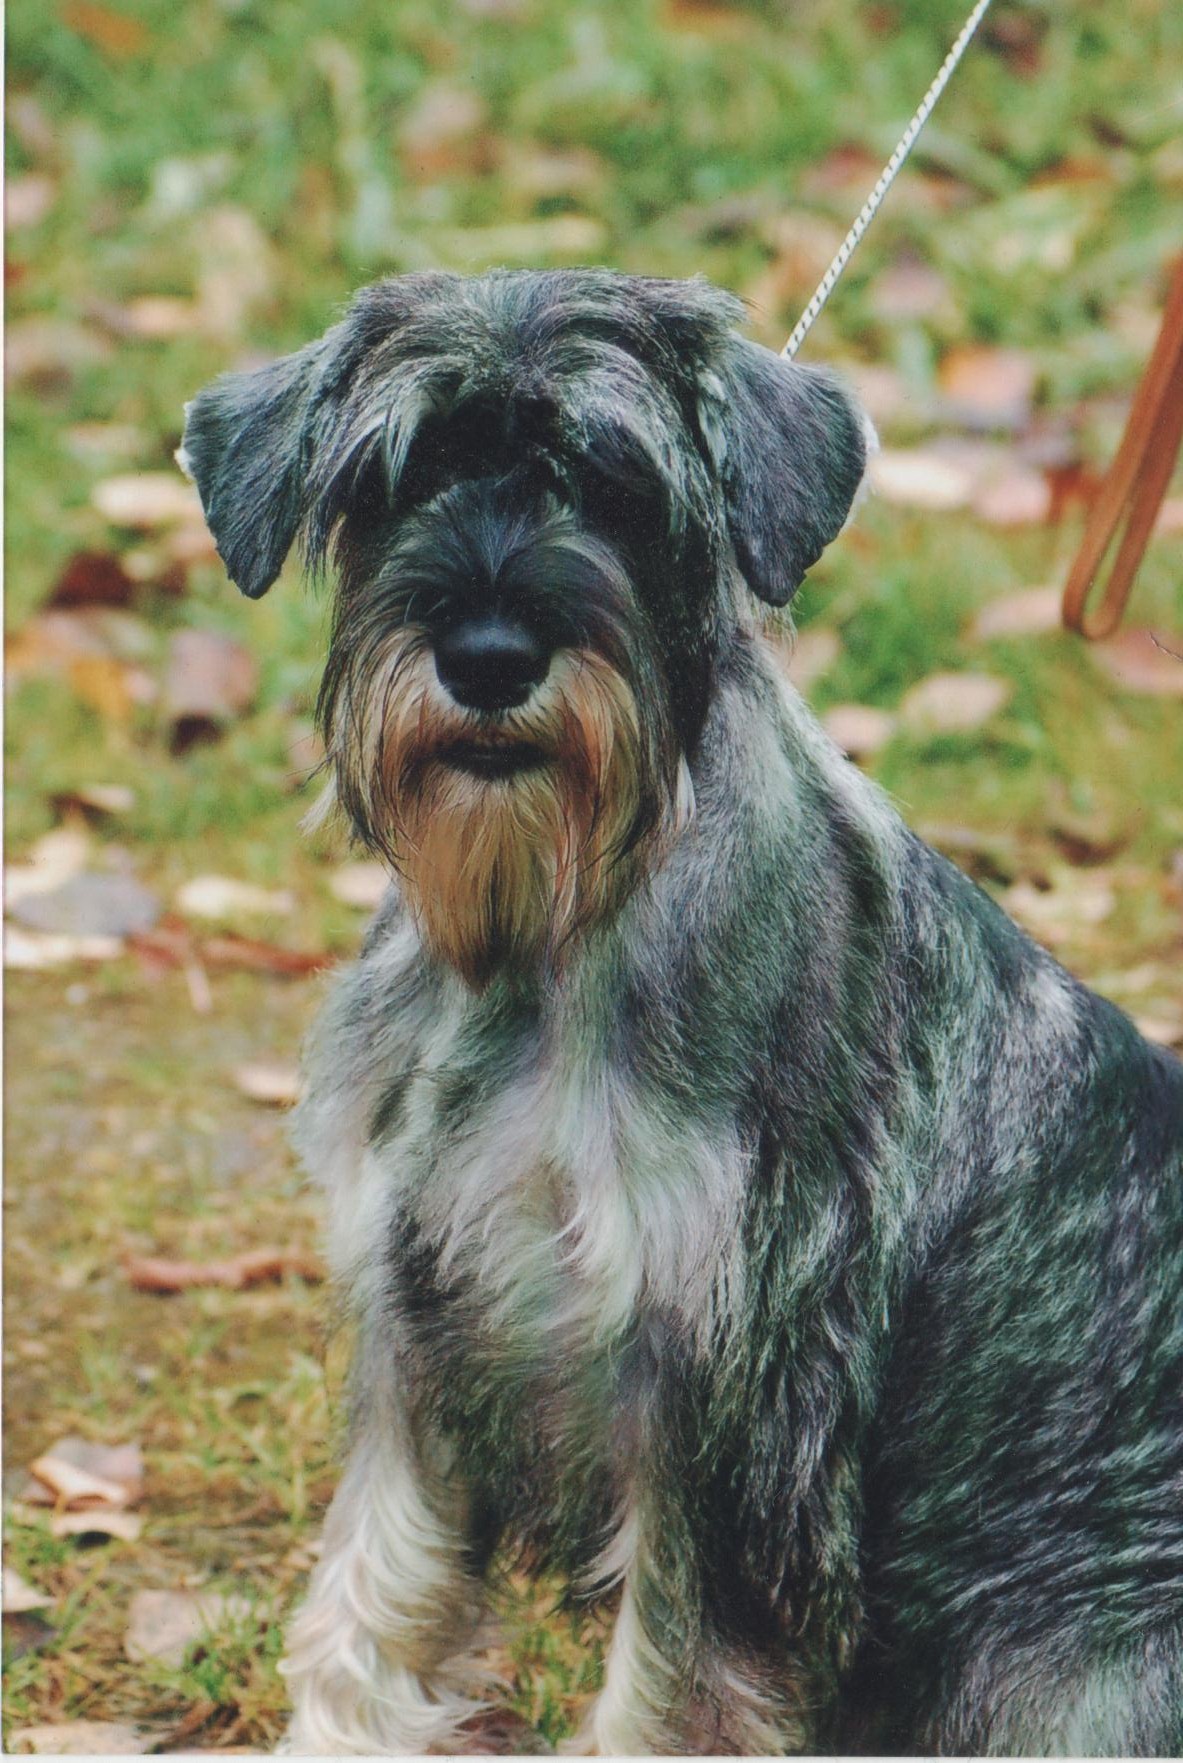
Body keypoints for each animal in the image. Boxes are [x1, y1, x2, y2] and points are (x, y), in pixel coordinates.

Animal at [181, 269, 1183, 1756]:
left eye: (618, 485)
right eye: (392, 479)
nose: (487, 655)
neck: (540, 937)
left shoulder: (731, 1398)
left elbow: (671, 1678)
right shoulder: (419, 1322)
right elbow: (373, 1593)